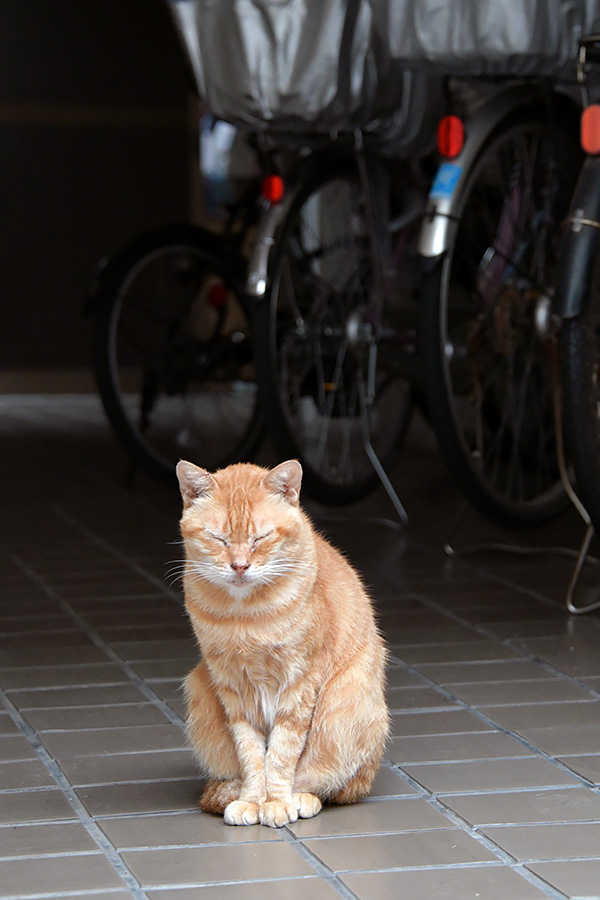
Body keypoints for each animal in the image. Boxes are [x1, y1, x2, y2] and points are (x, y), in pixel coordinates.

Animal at [175, 460, 390, 828]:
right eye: (218, 538)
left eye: (260, 537)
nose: (240, 566)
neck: (245, 616)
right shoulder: (232, 687)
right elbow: (250, 753)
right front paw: (252, 799)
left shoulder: (300, 681)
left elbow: (282, 752)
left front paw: (275, 801)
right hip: (200, 687)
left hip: (346, 703)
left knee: (333, 786)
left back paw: (301, 798)